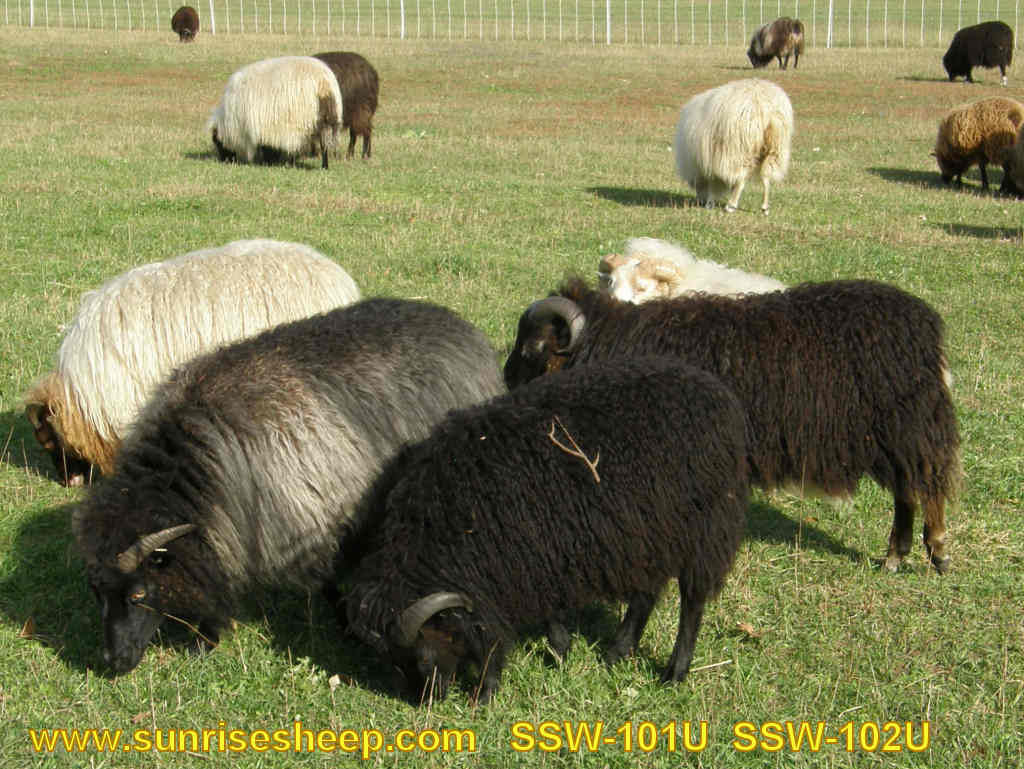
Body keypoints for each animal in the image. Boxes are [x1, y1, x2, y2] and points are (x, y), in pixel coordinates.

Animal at [73, 298, 506, 673]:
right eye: (95, 593)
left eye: (137, 594)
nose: (112, 662)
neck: (207, 453)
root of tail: (460, 326)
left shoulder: (320, 515)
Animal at [207, 56, 342, 169]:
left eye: (217, 142)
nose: (224, 161)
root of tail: (323, 83)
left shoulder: (265, 127)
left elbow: (268, 147)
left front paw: (269, 162)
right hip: (326, 120)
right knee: (324, 145)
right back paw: (324, 166)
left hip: (298, 122)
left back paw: (292, 163)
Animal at [344, 356, 748, 704]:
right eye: (393, 662)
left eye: (421, 656)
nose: (428, 701)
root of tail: (717, 393)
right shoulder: (536, 558)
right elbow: (549, 612)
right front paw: (561, 650)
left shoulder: (502, 573)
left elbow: (491, 634)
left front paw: (486, 693)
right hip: (650, 532)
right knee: (646, 593)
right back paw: (618, 652)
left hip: (706, 527)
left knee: (692, 602)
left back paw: (674, 671)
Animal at [504, 278, 961, 576]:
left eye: (530, 347)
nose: (506, 381)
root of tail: (924, 323)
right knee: (907, 493)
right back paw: (895, 557)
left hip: (910, 428)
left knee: (928, 484)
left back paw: (937, 551)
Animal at [674, 79, 793, 214]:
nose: (700, 202)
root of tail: (765, 108)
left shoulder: (711, 163)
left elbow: (713, 183)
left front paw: (710, 203)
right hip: (775, 150)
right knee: (766, 178)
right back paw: (765, 207)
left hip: (740, 150)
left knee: (741, 179)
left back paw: (731, 205)